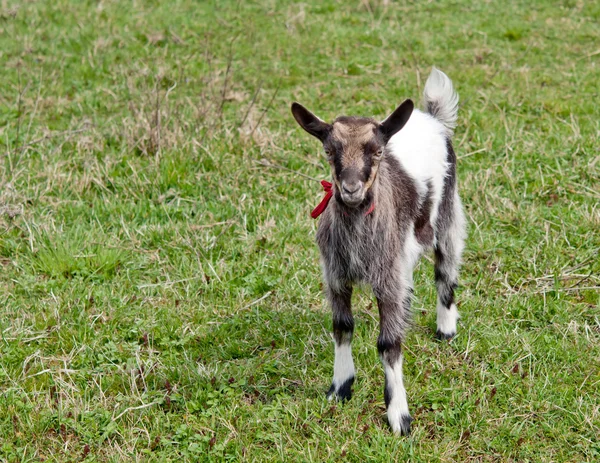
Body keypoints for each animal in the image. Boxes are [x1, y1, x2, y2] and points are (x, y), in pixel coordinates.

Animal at [292, 68, 466, 436]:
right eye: (329, 151)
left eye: (377, 152)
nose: (351, 189)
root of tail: (432, 117)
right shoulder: (336, 274)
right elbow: (342, 326)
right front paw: (340, 387)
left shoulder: (386, 280)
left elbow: (389, 343)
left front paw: (399, 415)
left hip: (447, 213)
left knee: (446, 268)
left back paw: (446, 328)